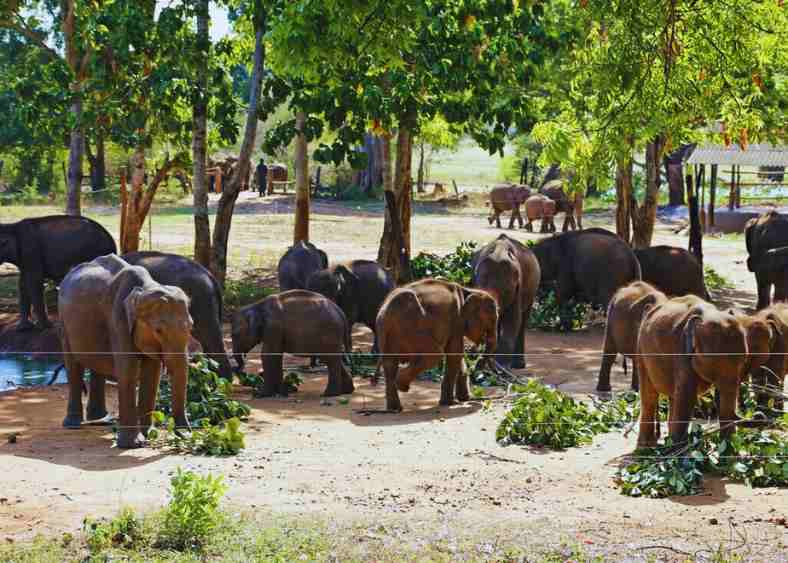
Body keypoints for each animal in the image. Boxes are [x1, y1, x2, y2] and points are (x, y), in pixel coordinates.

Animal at [58, 254, 193, 449]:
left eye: (191, 327)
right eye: (158, 330)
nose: (187, 435)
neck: (145, 288)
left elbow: (153, 374)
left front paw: (148, 435)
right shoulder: (118, 320)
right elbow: (128, 369)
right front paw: (132, 444)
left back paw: (101, 419)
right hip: (64, 322)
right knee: (73, 365)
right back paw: (73, 425)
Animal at [376, 279, 499, 412]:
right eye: (492, 320)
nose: (477, 368)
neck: (469, 290)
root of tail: (386, 312)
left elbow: (458, 356)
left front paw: (464, 398)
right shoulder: (456, 320)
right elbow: (455, 354)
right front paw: (450, 403)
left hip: (388, 333)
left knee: (389, 364)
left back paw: (395, 408)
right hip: (411, 327)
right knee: (434, 355)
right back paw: (401, 386)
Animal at [471, 234, 540, 369]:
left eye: (507, 291)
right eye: (481, 286)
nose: (478, 363)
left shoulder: (519, 287)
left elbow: (513, 319)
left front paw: (501, 366)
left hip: (532, 292)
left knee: (522, 321)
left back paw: (517, 365)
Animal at [635, 295, 749, 447]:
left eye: (743, 361)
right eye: (713, 364)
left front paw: (728, 449)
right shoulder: (682, 350)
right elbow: (687, 396)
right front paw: (677, 451)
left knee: (673, 396)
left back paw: (667, 442)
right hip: (641, 350)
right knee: (650, 395)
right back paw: (647, 447)